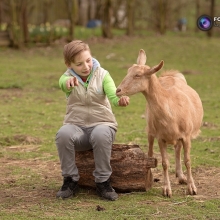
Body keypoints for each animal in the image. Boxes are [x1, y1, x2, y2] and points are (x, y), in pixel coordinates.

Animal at [116, 49, 204, 198]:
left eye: (137, 75)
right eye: (128, 71)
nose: (118, 90)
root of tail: (169, 74)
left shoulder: (186, 135)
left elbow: (187, 161)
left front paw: (192, 188)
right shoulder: (160, 137)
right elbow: (164, 163)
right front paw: (166, 190)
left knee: (177, 149)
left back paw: (181, 177)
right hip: (150, 130)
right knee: (151, 153)